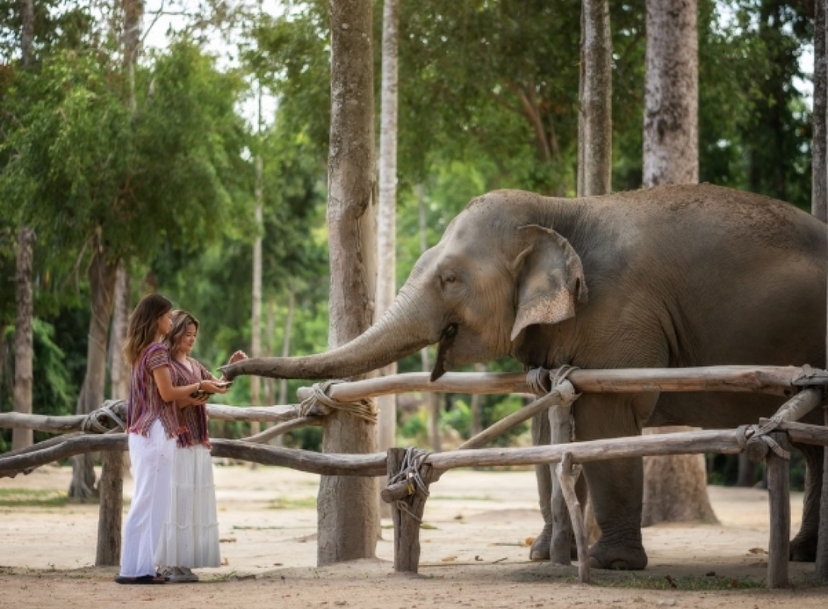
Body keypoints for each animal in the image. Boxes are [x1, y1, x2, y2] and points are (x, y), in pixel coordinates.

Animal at [224, 183, 826, 570]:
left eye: (450, 278)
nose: (229, 363)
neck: (562, 208)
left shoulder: (623, 314)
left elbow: (609, 420)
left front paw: (610, 565)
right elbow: (548, 422)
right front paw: (543, 554)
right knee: (816, 445)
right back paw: (803, 555)